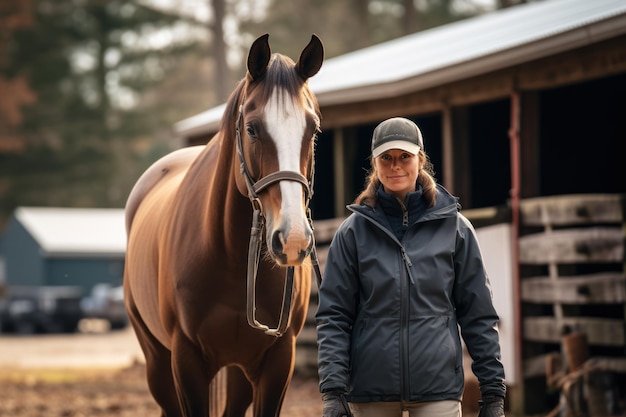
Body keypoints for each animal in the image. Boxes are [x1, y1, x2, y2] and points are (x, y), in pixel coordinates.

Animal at [124, 35, 324, 416]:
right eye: (252, 128)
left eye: (314, 130)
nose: (292, 239)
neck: (231, 258)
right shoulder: (186, 361)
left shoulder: (278, 360)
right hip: (157, 361)